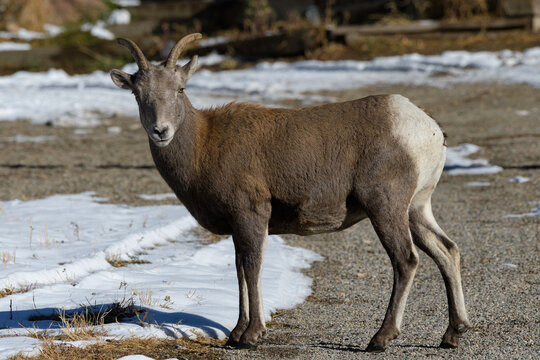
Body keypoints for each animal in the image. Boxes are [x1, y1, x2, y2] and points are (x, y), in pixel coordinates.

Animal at [112, 34, 470, 352]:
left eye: (180, 89)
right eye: (137, 94)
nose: (161, 131)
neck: (205, 147)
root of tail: (430, 130)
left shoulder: (252, 215)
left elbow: (252, 268)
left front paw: (251, 336)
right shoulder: (238, 226)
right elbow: (240, 270)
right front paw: (235, 335)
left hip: (386, 207)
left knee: (406, 261)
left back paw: (379, 340)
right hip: (417, 209)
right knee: (447, 250)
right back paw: (453, 334)